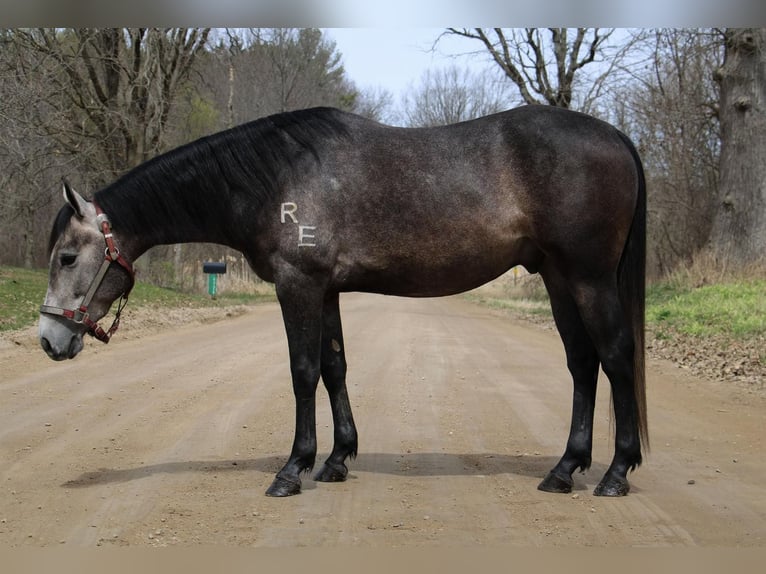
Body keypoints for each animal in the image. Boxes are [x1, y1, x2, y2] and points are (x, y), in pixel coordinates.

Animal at [39, 105, 648, 498]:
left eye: (67, 257)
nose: (48, 339)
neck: (275, 176)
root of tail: (616, 136)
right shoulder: (326, 289)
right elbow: (335, 367)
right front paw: (335, 461)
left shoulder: (299, 286)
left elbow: (303, 371)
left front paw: (292, 469)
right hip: (559, 278)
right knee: (582, 364)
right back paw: (565, 470)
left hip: (588, 278)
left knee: (616, 358)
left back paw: (616, 474)